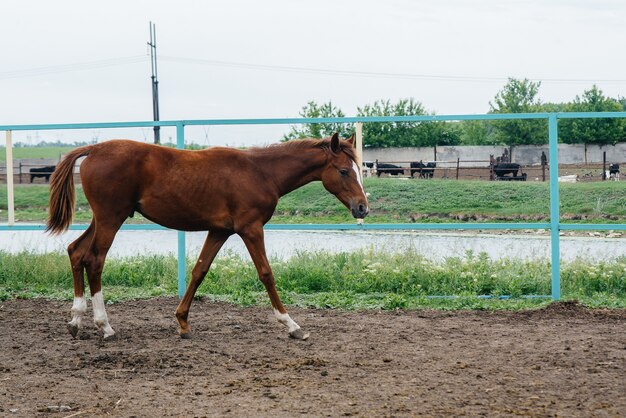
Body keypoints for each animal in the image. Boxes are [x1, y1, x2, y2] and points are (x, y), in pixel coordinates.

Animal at [47, 132, 366, 342]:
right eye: (343, 171)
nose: (362, 207)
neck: (260, 172)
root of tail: (93, 149)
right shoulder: (250, 228)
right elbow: (266, 273)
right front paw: (291, 324)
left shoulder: (220, 231)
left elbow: (200, 270)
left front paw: (183, 323)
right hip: (111, 218)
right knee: (94, 260)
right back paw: (105, 327)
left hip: (102, 219)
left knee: (76, 251)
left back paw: (75, 321)